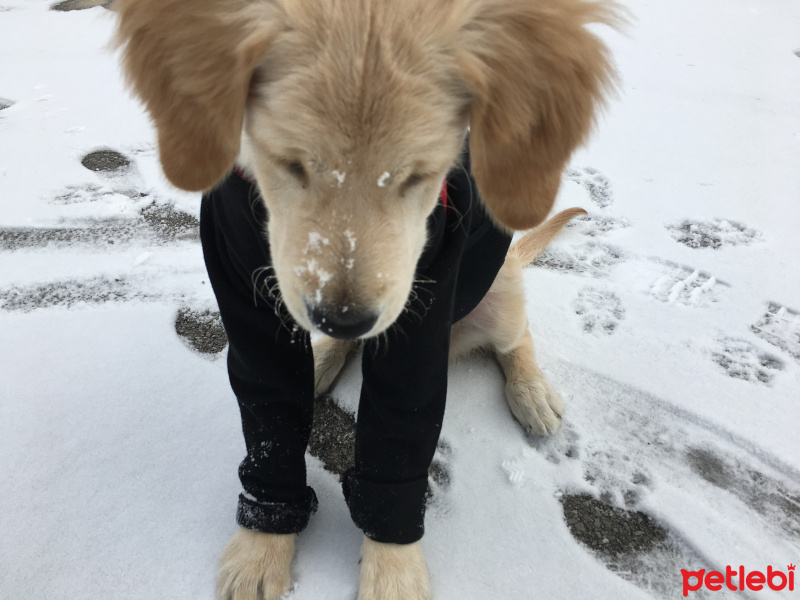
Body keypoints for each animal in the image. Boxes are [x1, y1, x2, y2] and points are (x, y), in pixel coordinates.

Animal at [115, 1, 616, 600]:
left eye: (420, 175)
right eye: (290, 163)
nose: (345, 318)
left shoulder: (420, 316)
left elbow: (396, 443)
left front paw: (392, 568)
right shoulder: (245, 297)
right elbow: (268, 428)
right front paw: (262, 547)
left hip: (500, 287)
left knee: (518, 338)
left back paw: (530, 392)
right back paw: (323, 360)